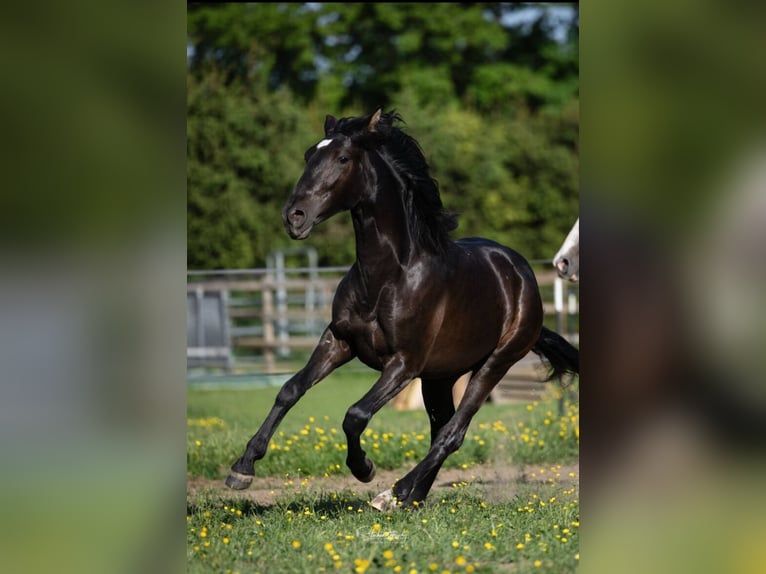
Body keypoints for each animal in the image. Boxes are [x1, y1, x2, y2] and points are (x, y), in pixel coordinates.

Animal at [226, 108, 579, 510]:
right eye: (308, 155)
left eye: (343, 159)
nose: (294, 216)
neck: (388, 276)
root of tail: (521, 275)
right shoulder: (338, 341)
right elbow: (290, 389)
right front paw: (242, 468)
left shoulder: (403, 364)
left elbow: (355, 415)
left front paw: (364, 469)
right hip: (439, 376)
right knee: (441, 427)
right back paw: (412, 498)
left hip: (494, 364)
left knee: (453, 432)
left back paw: (394, 493)